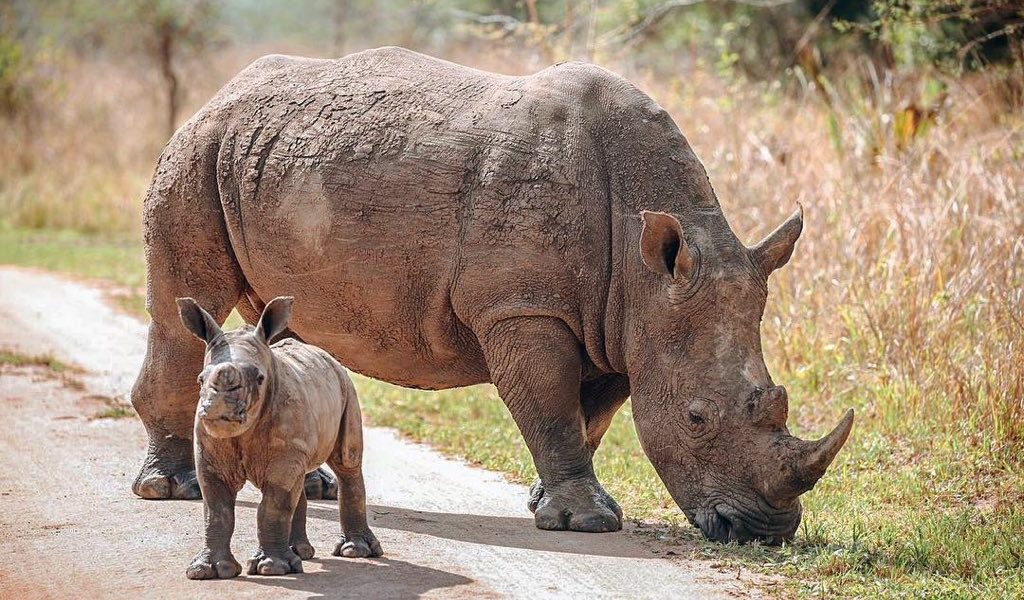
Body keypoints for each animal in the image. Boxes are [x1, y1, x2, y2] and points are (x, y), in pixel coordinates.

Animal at [131, 46, 853, 543]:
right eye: (698, 418)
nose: (763, 532)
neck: (645, 261)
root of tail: (218, 94)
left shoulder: (620, 320)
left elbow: (590, 417)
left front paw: (547, 505)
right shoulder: (526, 307)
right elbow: (551, 405)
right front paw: (587, 523)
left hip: (260, 164)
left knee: (275, 319)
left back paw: (308, 484)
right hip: (197, 153)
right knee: (185, 304)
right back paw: (170, 489)